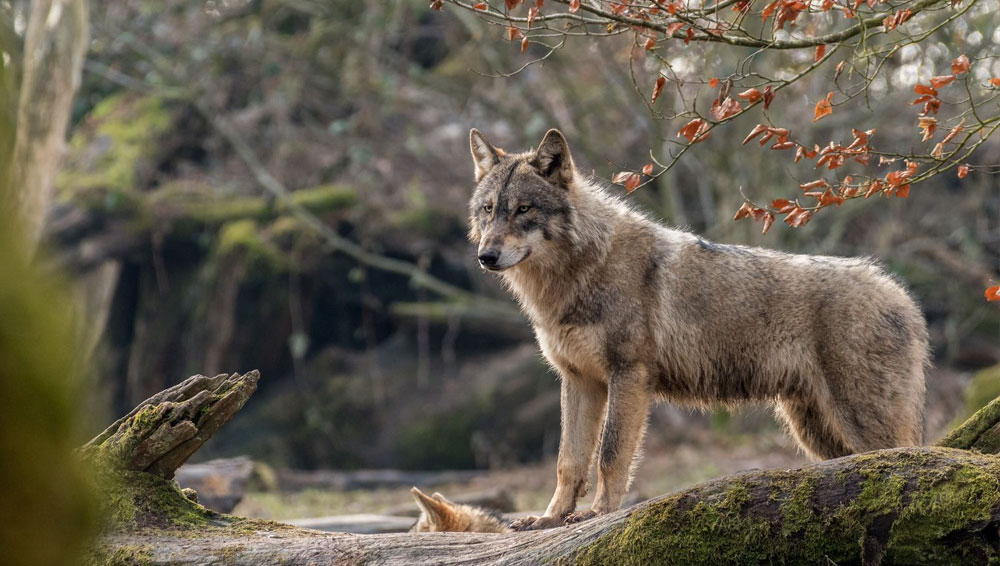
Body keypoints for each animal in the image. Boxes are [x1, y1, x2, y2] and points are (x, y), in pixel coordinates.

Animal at [468, 129, 928, 532]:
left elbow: (610, 455)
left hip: (859, 425)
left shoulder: (629, 375)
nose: (485, 256)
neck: (578, 272)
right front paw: (549, 519)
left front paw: (598, 513)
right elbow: (569, 461)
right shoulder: (579, 380)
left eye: (524, 209)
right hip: (816, 432)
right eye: (489, 209)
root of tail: (902, 296)